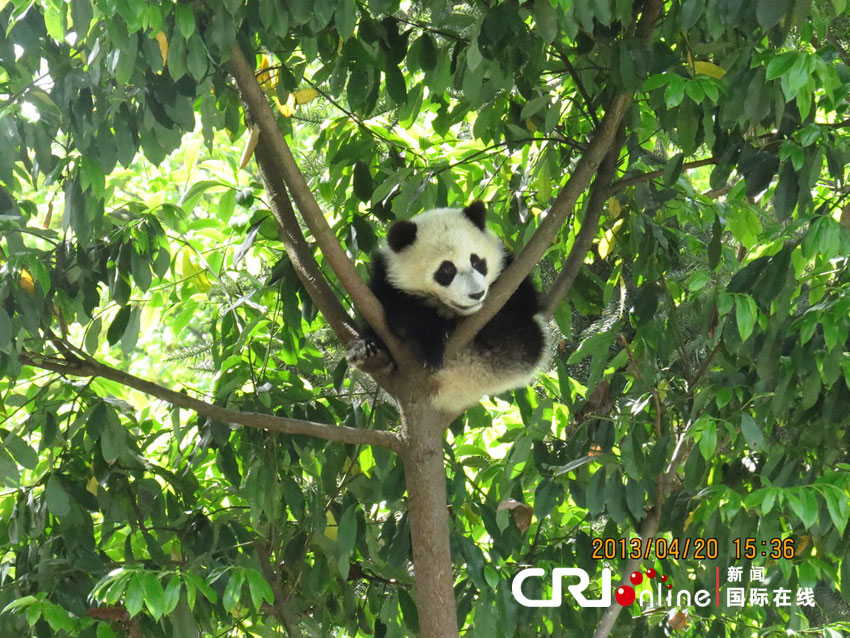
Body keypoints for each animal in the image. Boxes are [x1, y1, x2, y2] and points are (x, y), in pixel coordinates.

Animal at [348, 202, 548, 418]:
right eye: (447, 270)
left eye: (477, 261)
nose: (477, 294)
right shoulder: (384, 282)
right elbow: (400, 311)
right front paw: (431, 343)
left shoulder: (512, 271)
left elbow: (525, 300)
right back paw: (369, 354)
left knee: (522, 338)